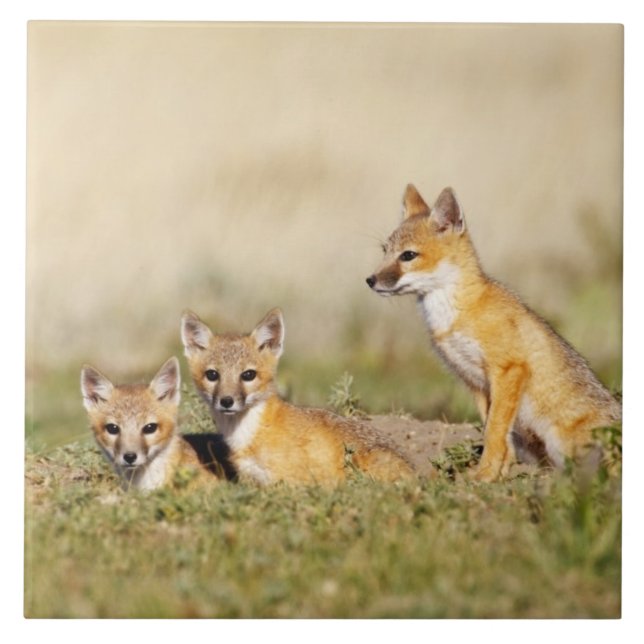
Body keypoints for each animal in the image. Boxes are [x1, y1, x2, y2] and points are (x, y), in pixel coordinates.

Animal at [366, 184, 622, 482]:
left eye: (407, 255)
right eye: (385, 251)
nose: (370, 280)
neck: (455, 313)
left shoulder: (508, 369)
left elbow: (493, 431)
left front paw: (484, 476)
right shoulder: (475, 381)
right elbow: (496, 431)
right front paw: (498, 473)